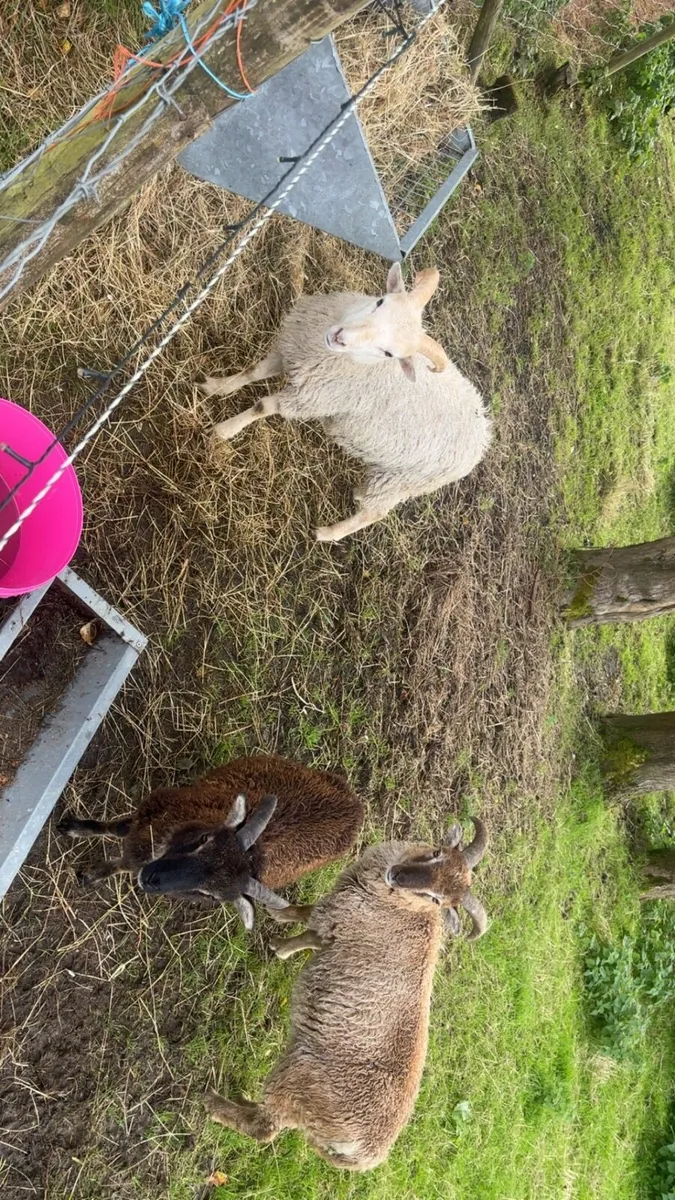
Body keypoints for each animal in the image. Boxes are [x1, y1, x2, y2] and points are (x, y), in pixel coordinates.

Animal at [57, 754, 364, 929]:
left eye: (212, 896)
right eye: (204, 839)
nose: (151, 879)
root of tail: (356, 807)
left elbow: (121, 863)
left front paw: (92, 875)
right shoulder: (148, 816)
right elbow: (116, 829)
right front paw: (73, 829)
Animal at [198, 262, 491, 542]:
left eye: (389, 353)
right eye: (380, 301)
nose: (340, 337)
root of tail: (483, 435)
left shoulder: (309, 398)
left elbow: (262, 407)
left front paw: (222, 432)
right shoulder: (289, 351)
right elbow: (252, 373)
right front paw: (216, 387)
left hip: (402, 480)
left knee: (375, 513)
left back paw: (327, 534)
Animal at [205, 817, 488, 1170]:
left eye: (437, 899)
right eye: (437, 852)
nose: (397, 876)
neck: (406, 909)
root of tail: (364, 1153)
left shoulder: (336, 916)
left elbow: (306, 919)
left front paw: (278, 930)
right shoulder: (335, 923)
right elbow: (308, 930)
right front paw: (282, 941)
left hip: (296, 1084)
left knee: (265, 1127)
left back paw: (212, 1102)